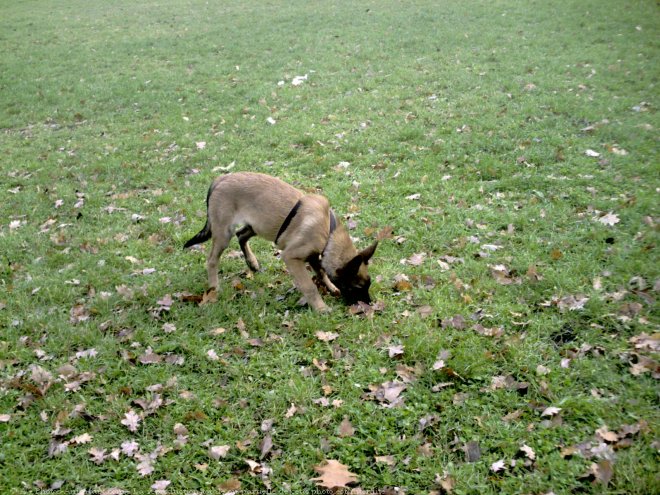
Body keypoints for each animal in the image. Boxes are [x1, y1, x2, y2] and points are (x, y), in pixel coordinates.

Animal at [183, 172, 376, 312]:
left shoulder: (314, 256)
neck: (329, 231)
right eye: (357, 287)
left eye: (369, 285)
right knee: (212, 260)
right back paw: (214, 287)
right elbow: (309, 286)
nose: (369, 306)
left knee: (241, 235)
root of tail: (221, 178)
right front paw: (321, 308)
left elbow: (321, 272)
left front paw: (330, 287)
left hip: (257, 225)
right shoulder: (291, 257)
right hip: (224, 234)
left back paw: (252, 263)